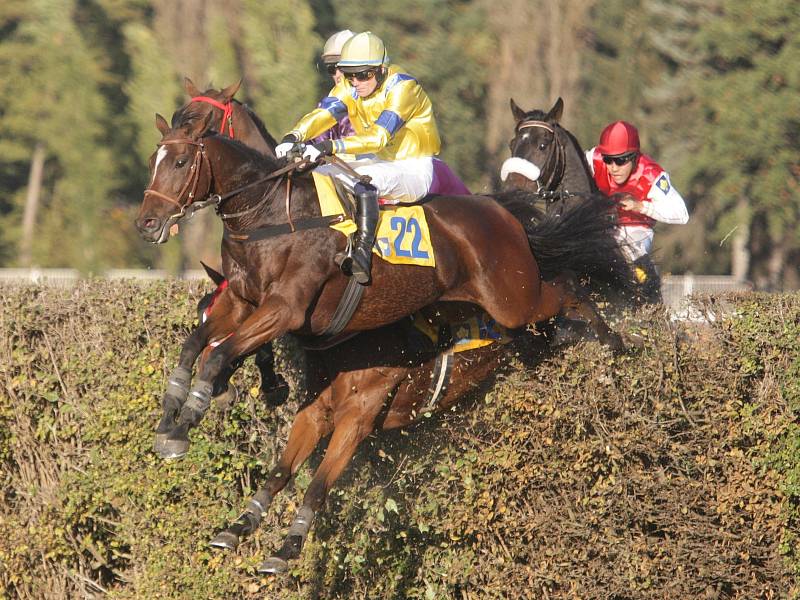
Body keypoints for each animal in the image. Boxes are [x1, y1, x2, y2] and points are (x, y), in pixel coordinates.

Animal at [136, 112, 624, 458]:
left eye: (181, 161)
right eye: (153, 161)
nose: (147, 223)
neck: (270, 215)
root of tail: (502, 211)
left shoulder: (284, 309)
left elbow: (219, 355)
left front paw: (189, 416)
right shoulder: (241, 301)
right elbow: (195, 344)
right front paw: (171, 416)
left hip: (512, 297)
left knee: (568, 287)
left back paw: (614, 344)